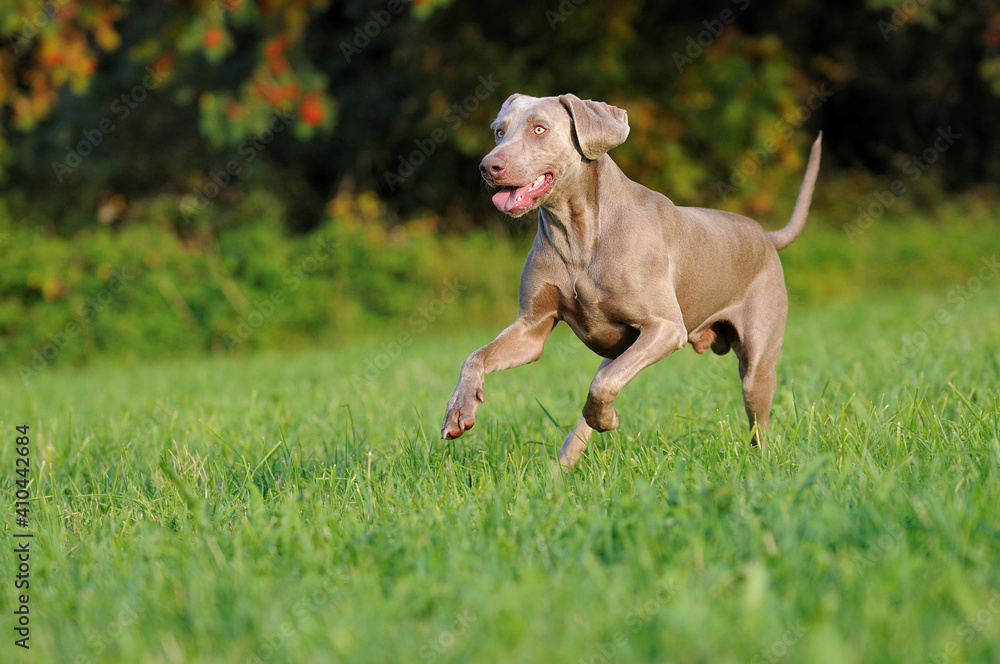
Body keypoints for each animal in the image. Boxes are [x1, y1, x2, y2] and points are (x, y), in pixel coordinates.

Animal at [438, 93, 820, 470]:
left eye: (539, 129)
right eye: (499, 131)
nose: (488, 166)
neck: (577, 232)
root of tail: (766, 236)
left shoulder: (665, 327)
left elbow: (601, 386)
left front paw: (606, 419)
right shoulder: (531, 329)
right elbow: (475, 357)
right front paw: (458, 411)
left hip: (756, 361)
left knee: (758, 420)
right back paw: (562, 465)